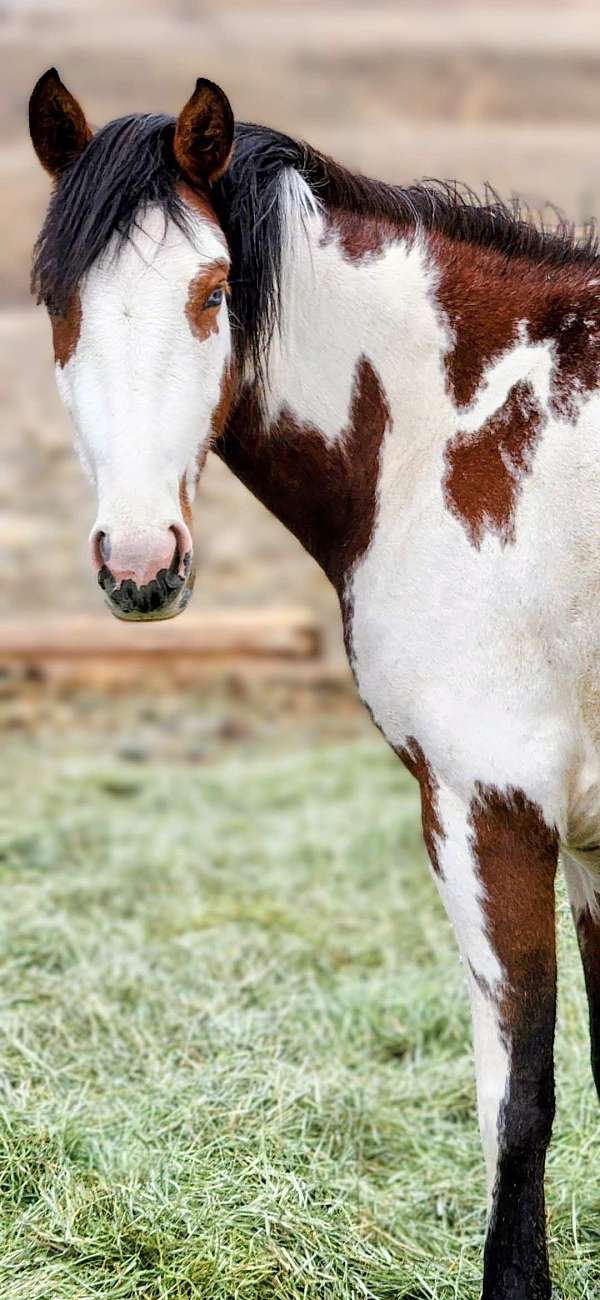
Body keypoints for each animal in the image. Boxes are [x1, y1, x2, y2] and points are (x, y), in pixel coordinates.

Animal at [29, 67, 600, 1299]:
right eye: (55, 297)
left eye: (212, 291)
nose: (139, 563)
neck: (456, 435)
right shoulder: (586, 839)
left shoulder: (490, 809)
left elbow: (518, 1108)